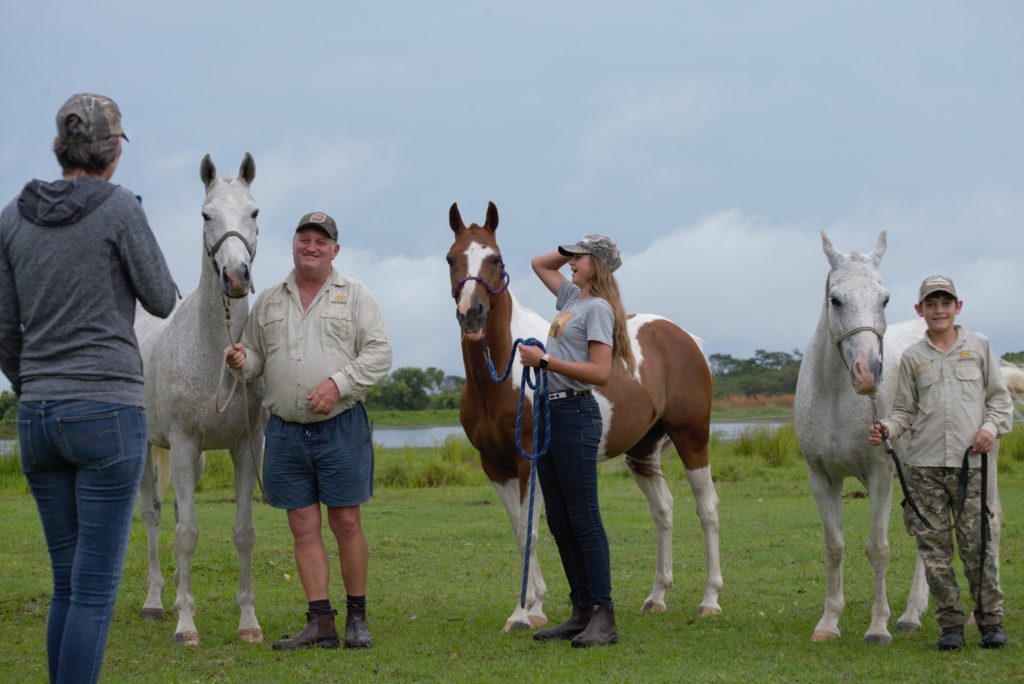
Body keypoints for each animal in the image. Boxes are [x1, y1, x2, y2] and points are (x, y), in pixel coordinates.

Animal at [134, 154, 266, 647]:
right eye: (206, 215)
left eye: (254, 211)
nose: (236, 276)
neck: (213, 348)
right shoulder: (185, 443)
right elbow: (187, 533)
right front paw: (186, 627)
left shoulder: (245, 446)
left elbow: (243, 532)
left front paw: (248, 622)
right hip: (149, 449)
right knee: (154, 516)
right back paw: (156, 602)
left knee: (171, 513)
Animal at [446, 201, 720, 630]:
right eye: (451, 258)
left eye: (496, 258)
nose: (471, 314)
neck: (504, 377)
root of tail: (685, 338)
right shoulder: (495, 466)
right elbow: (519, 532)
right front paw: (535, 607)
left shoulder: (528, 462)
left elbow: (530, 532)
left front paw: (523, 612)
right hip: (643, 450)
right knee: (663, 509)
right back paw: (656, 597)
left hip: (692, 437)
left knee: (707, 508)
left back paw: (710, 600)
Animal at [790, 232, 937, 643]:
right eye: (836, 299)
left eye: (884, 298)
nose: (868, 373)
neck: (836, 397)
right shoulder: (822, 479)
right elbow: (834, 547)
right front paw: (828, 622)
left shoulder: (879, 477)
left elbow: (877, 548)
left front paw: (878, 626)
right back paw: (915, 612)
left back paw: (912, 615)